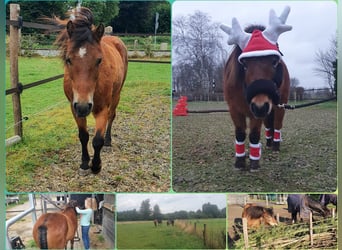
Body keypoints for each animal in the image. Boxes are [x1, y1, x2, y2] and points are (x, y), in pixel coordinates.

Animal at [52, 6, 127, 175]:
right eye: (68, 59)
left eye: (99, 60)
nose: (83, 106)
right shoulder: (74, 108)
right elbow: (83, 136)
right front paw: (85, 163)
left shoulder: (102, 109)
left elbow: (97, 140)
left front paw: (96, 165)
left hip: (117, 94)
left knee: (112, 116)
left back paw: (108, 141)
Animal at [222, 6, 292, 172]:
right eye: (244, 64)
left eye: (274, 61)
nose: (260, 106)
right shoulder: (235, 109)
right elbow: (240, 134)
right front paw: (240, 162)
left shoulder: (257, 110)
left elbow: (253, 134)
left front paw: (254, 163)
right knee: (269, 124)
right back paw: (268, 143)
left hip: (278, 104)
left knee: (277, 124)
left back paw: (275, 145)